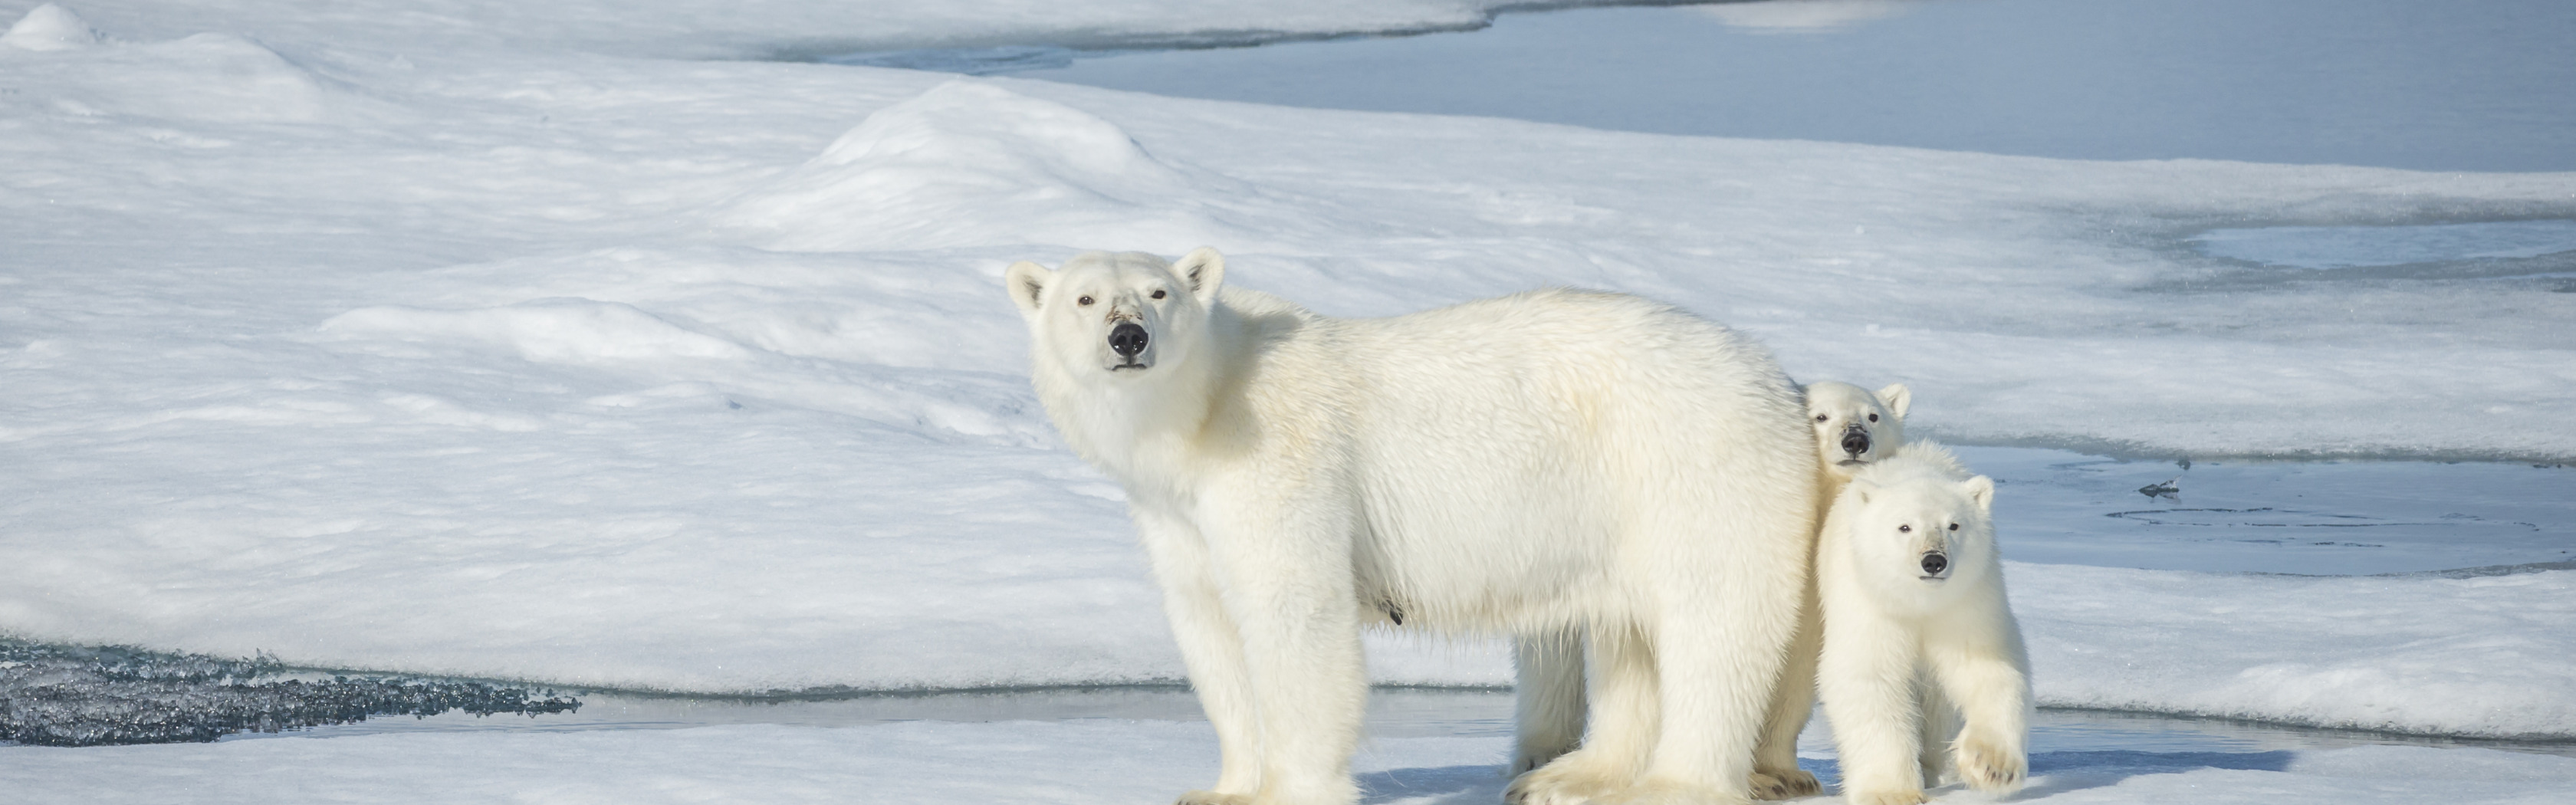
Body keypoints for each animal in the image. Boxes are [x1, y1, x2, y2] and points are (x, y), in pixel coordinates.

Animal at [1004, 250, 1813, 805]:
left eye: (1158, 293)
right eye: (1084, 298)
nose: (1129, 338)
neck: (1202, 411)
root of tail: (1776, 377)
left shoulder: (1279, 459)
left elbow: (1295, 612)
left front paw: (1293, 790)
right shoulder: (1177, 511)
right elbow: (1209, 625)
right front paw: (1222, 788)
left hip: (1690, 467)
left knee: (1711, 622)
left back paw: (1671, 783)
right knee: (1629, 635)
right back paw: (1573, 777)